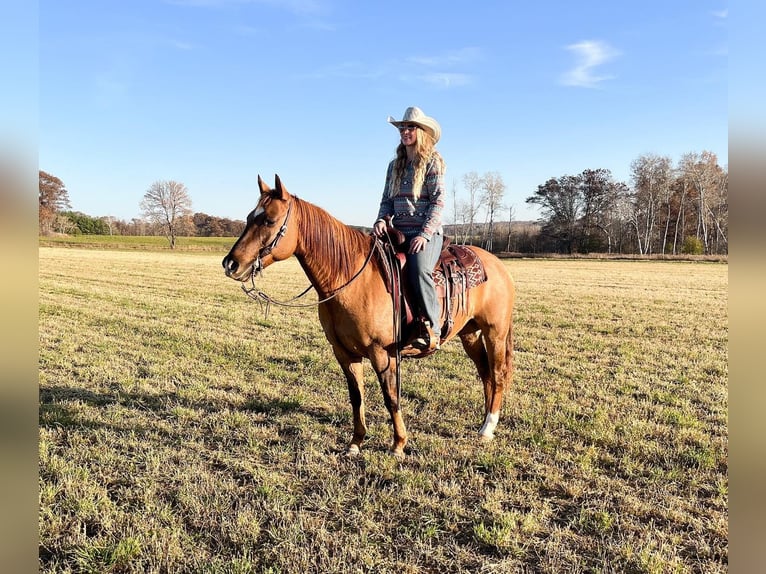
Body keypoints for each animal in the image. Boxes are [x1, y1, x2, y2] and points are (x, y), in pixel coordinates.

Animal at [225, 176, 520, 460]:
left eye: (269, 220)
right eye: (250, 217)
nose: (230, 264)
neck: (350, 278)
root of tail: (497, 264)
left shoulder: (381, 353)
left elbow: (391, 397)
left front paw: (398, 444)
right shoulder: (344, 353)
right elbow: (357, 397)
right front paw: (355, 443)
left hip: (495, 332)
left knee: (498, 374)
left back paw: (488, 428)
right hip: (469, 333)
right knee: (485, 374)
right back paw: (483, 424)